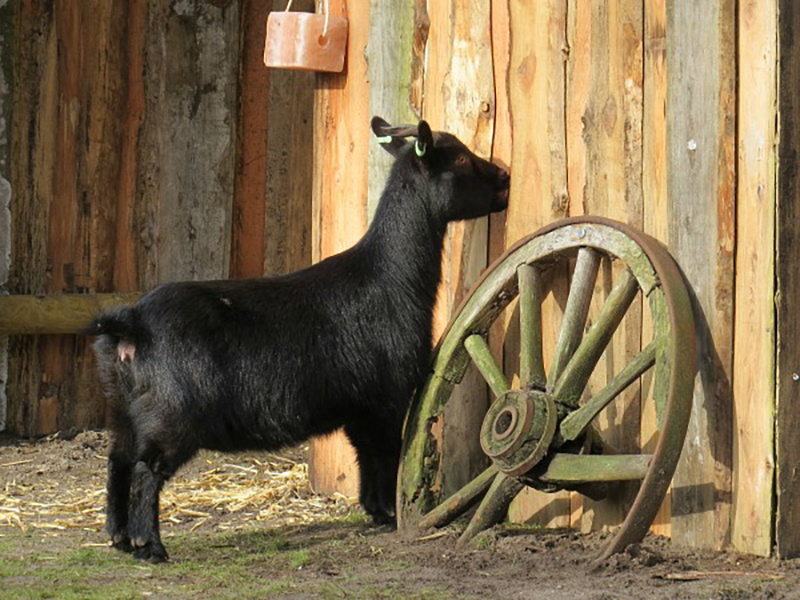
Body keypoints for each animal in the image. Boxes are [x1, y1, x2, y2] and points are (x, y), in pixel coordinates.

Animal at [90, 118, 510, 564]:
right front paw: (394, 514)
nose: (504, 178)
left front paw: (377, 511)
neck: (388, 277)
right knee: (144, 469)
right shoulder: (387, 398)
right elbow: (385, 453)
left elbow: (365, 455)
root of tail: (131, 325)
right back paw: (149, 546)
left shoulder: (359, 406)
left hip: (123, 407)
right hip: (171, 414)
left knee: (117, 460)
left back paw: (118, 538)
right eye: (461, 159)